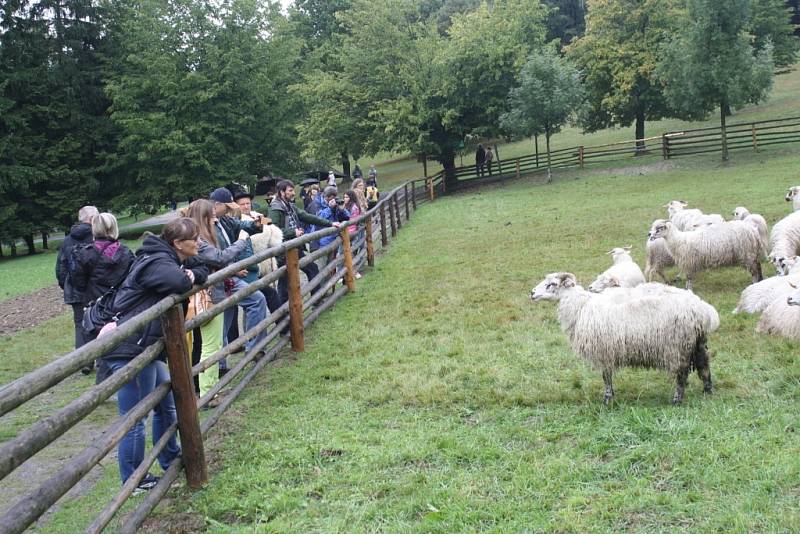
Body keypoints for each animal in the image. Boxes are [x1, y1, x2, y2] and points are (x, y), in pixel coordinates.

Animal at [532, 272, 720, 406]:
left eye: (552, 284)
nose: (532, 293)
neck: (581, 306)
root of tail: (703, 310)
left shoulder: (604, 349)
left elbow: (606, 376)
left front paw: (607, 399)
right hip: (698, 342)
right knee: (704, 365)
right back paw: (708, 391)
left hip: (677, 346)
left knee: (681, 373)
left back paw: (676, 400)